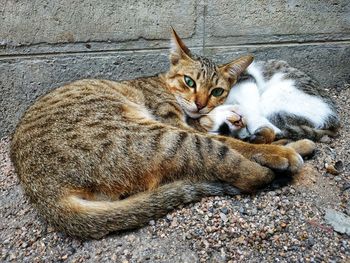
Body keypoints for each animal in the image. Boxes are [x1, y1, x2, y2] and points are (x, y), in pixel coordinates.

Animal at [10, 28, 314, 239]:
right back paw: (277, 164)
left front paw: (280, 139)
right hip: (161, 138)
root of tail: (45, 195)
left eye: (217, 91)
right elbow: (235, 141)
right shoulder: (177, 123)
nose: (200, 103)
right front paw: (277, 148)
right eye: (189, 81)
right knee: (240, 169)